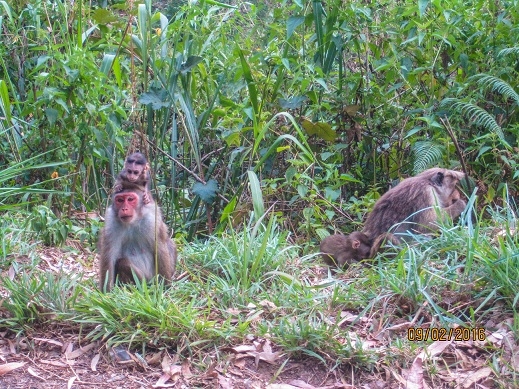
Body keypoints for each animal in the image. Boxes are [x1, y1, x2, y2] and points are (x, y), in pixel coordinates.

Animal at [320, 167, 468, 266]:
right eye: (454, 186)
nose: (457, 194)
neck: (427, 181)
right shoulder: (426, 194)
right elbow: (427, 224)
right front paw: (461, 204)